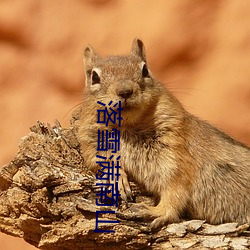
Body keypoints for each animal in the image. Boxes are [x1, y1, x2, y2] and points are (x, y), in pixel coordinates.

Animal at [77, 38, 249, 229]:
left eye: (145, 70)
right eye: (94, 77)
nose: (125, 91)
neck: (126, 127)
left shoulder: (175, 153)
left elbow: (175, 189)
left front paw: (156, 211)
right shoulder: (90, 141)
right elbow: (97, 160)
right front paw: (116, 177)